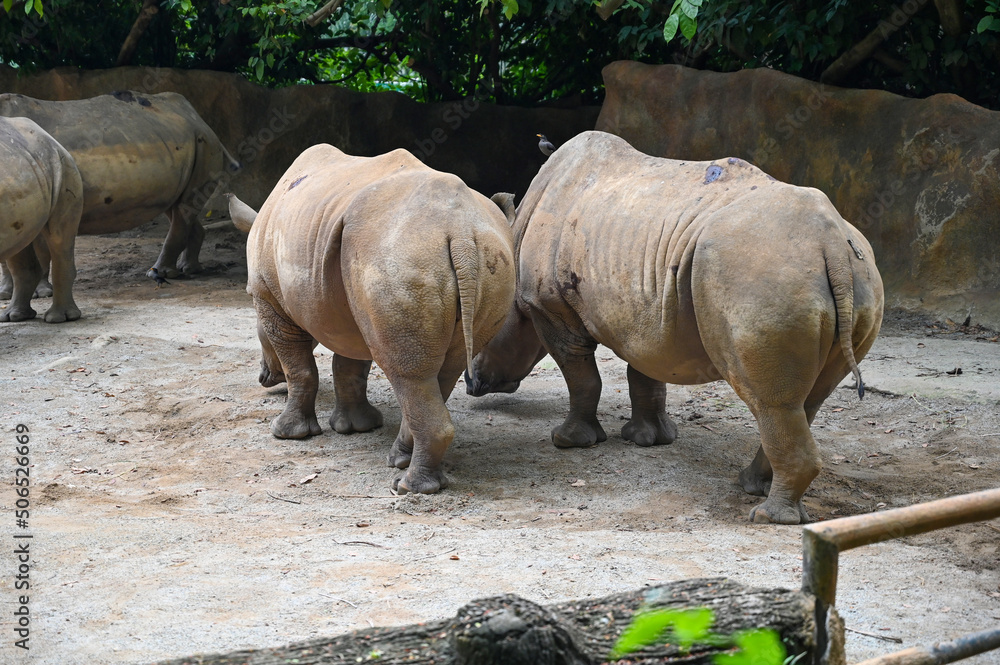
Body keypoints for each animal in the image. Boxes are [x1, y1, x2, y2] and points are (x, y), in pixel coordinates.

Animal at [0, 90, 240, 299]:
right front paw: (5, 294)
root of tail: (199, 119)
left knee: (183, 209)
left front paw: (41, 293)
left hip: (205, 144)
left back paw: (164, 272)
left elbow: (39, 249)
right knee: (178, 206)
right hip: (187, 143)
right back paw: (189, 268)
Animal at [229, 144, 516, 494]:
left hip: (396, 256)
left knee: (406, 372)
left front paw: (288, 433)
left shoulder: (268, 298)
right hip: (478, 257)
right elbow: (350, 365)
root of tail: (460, 231)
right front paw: (356, 427)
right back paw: (399, 460)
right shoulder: (350, 302)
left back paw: (407, 487)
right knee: (437, 371)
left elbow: (300, 368)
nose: (264, 378)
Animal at [465, 131, 884, 524]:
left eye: (487, 327)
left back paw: (766, 515)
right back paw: (752, 485)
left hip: (760, 275)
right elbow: (645, 374)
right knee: (806, 401)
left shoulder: (548, 306)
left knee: (772, 403)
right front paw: (649, 440)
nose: (471, 382)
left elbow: (582, 378)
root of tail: (832, 244)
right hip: (856, 274)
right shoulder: (646, 312)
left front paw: (570, 441)